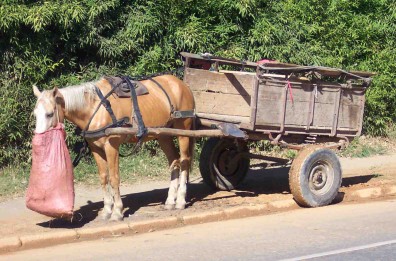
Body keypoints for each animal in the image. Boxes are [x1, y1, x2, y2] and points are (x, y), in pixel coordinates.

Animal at [32, 74, 195, 219]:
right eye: (35, 114)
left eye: (49, 114)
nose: (38, 139)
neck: (95, 108)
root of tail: (182, 84)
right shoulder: (96, 149)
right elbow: (104, 177)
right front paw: (106, 210)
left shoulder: (112, 147)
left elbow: (114, 178)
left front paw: (117, 211)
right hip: (163, 135)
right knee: (174, 161)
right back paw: (170, 201)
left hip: (183, 132)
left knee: (184, 162)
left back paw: (180, 200)